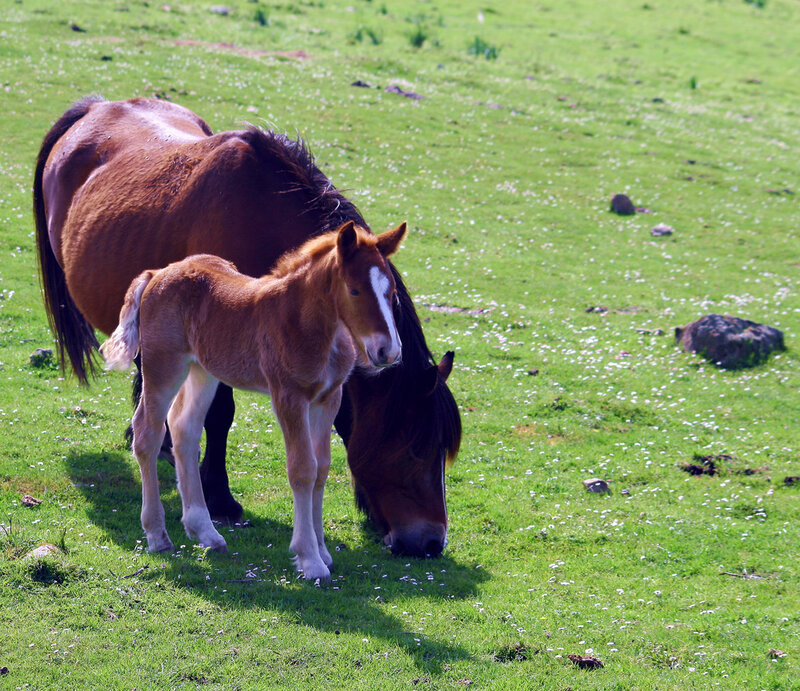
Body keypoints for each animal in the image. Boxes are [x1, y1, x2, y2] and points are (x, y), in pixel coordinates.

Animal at [101, 222, 407, 580]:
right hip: (164, 365)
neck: (313, 326)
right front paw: (309, 559)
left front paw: (323, 551)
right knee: (147, 434)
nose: (388, 351)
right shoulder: (288, 396)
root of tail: (156, 272)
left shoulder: (328, 399)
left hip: (203, 369)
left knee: (184, 429)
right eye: (355, 291)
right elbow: (303, 469)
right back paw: (157, 536)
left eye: (392, 293)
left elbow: (322, 469)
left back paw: (206, 532)